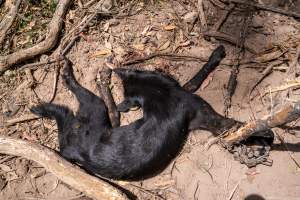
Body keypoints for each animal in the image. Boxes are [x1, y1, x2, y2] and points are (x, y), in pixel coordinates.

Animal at [31, 46, 274, 180]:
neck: (158, 92)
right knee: (75, 89)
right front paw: (265, 135)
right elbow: (234, 122)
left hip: (91, 111)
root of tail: (71, 146)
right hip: (97, 105)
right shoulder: (199, 105)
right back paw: (66, 71)